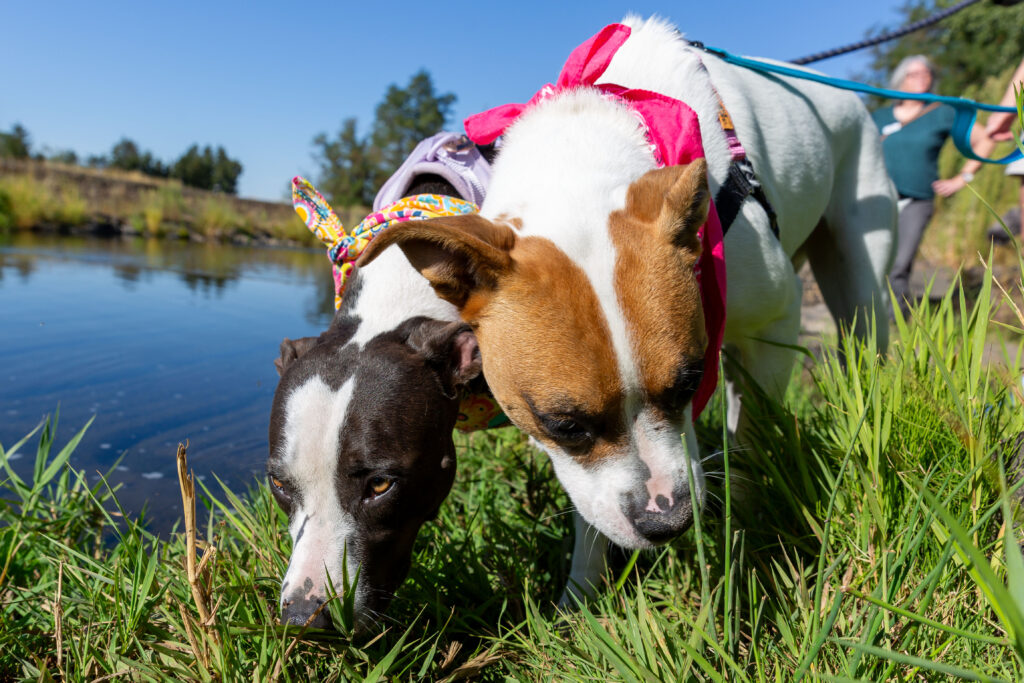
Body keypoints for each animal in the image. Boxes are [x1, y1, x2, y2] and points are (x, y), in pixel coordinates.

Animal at [356, 15, 892, 602]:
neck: (590, 134)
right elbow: (592, 506)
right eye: (564, 425)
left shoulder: (774, 324)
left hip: (860, 262)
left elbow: (751, 436)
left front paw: (746, 543)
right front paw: (581, 596)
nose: (668, 521)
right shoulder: (584, 465)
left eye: (688, 383)